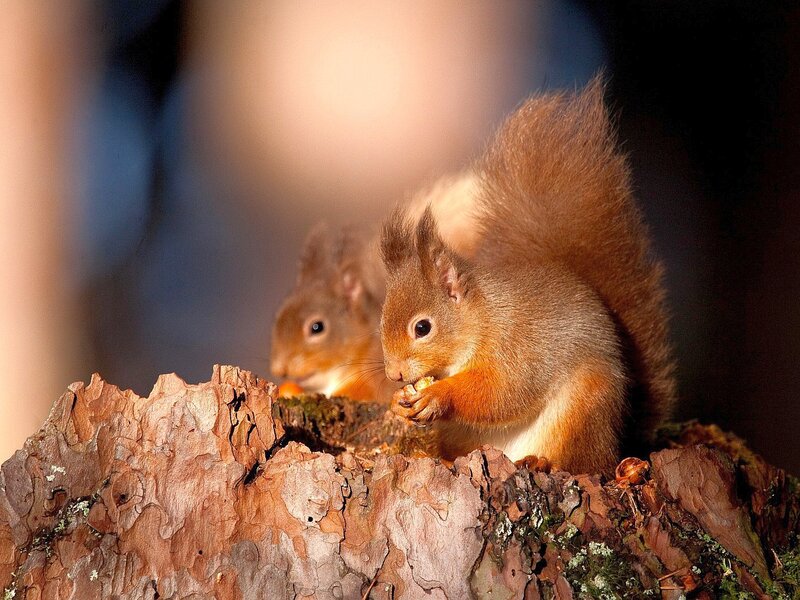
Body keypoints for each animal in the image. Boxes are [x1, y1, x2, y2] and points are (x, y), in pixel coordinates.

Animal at [379, 78, 676, 475]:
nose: (394, 375)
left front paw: (439, 396)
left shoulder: (519, 348)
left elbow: (502, 392)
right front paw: (398, 403)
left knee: (584, 463)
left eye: (422, 328)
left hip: (584, 408)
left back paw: (543, 462)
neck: (484, 317)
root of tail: (617, 439)